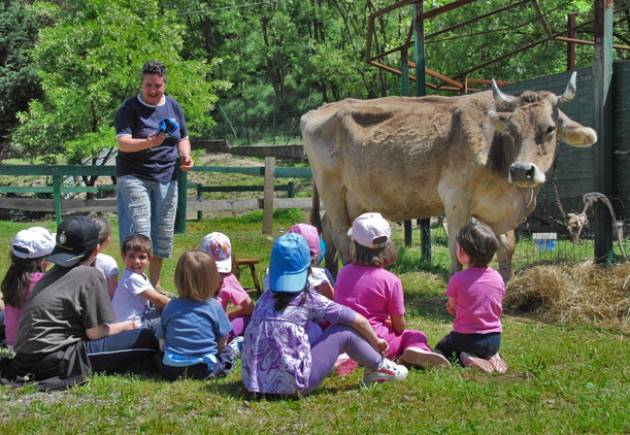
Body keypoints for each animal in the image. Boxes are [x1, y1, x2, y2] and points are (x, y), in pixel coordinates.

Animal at [304, 72, 600, 282]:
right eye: (511, 129)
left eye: (549, 129)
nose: (521, 170)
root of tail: (321, 108)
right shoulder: (456, 197)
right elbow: (457, 243)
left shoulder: (499, 210)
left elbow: (507, 246)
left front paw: (507, 284)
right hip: (331, 187)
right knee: (340, 234)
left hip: (352, 197)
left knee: (329, 230)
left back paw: (331, 273)